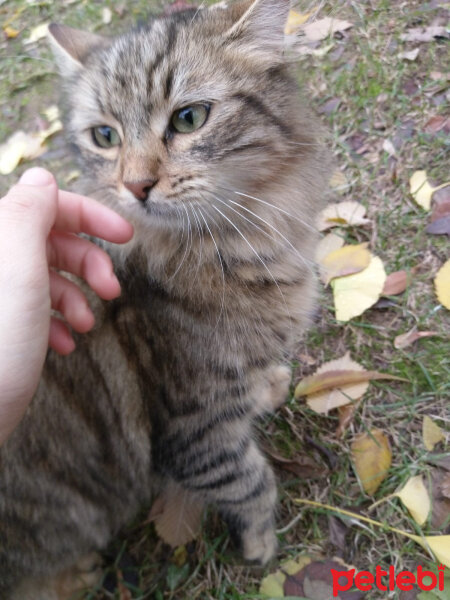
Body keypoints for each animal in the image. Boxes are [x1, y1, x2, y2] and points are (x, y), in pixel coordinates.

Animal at [0, 2, 330, 596]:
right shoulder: (193, 427)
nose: (135, 186)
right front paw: (261, 545)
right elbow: (250, 481)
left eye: (189, 119)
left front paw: (267, 387)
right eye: (105, 135)